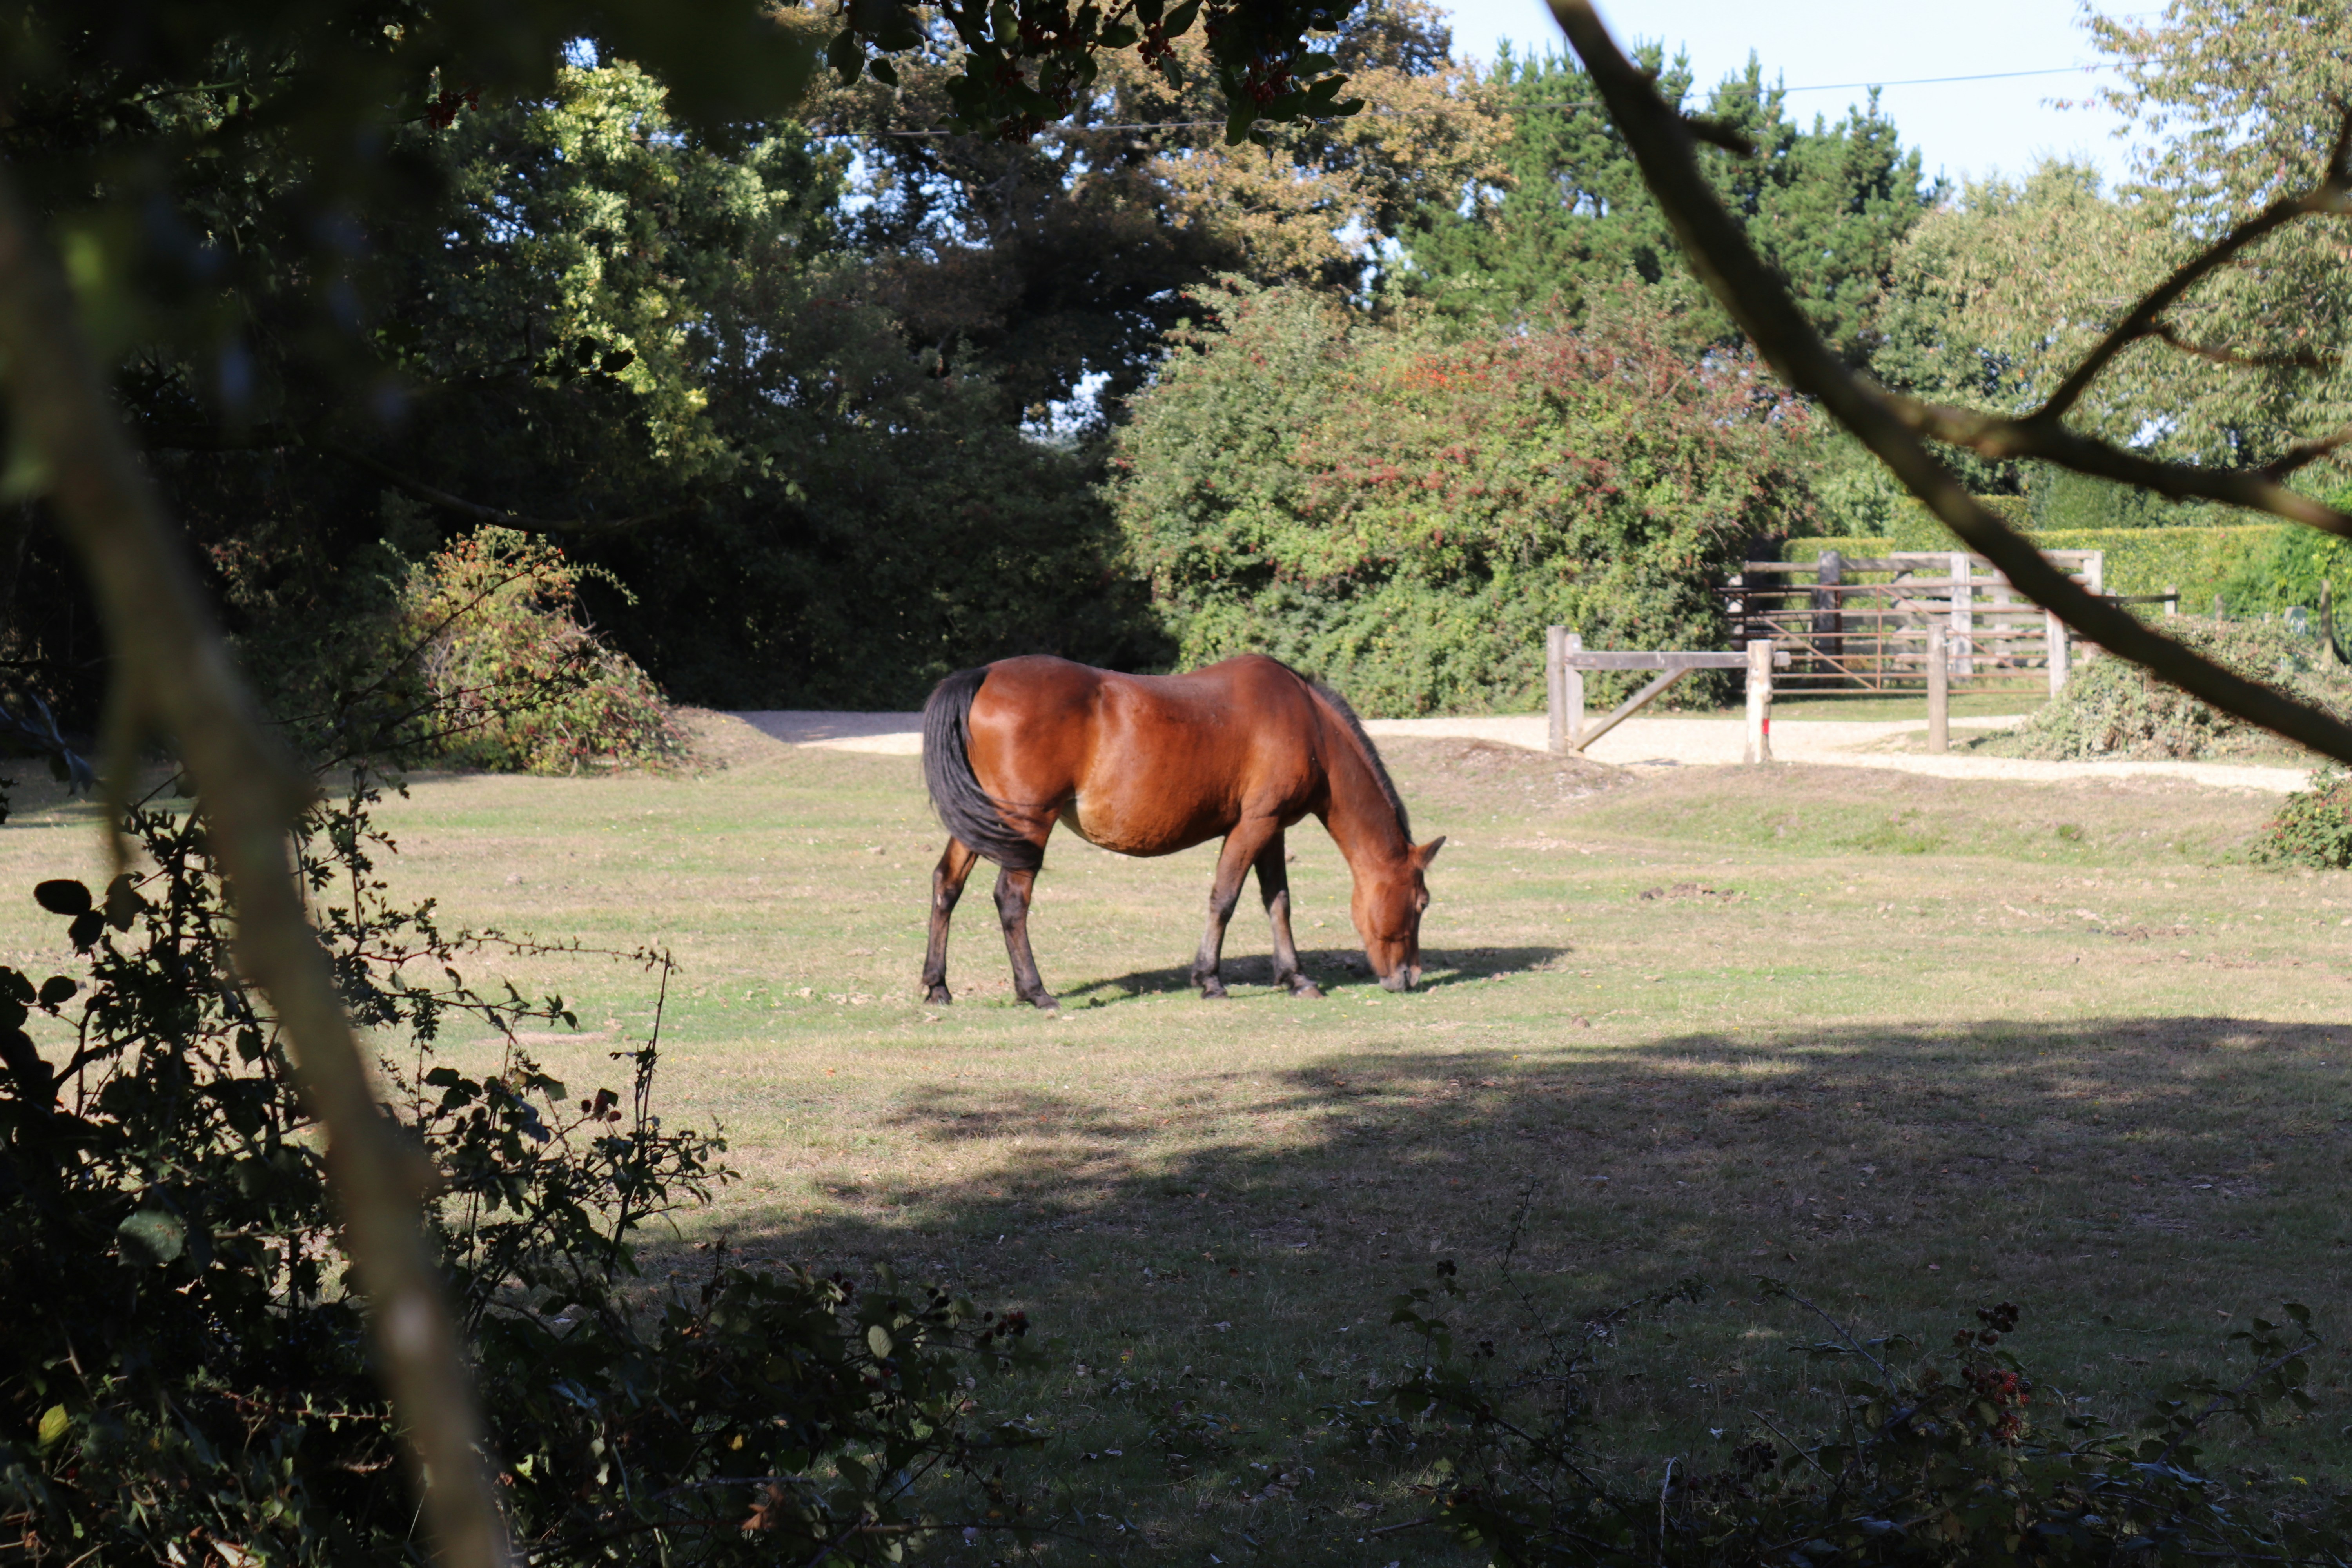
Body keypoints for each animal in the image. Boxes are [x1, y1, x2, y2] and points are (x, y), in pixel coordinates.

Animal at [918, 653, 1443, 1011]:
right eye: (1422, 903)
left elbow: (1278, 903)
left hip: (982, 820)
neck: (1310, 724)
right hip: (1026, 823)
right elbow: (1225, 899)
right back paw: (1036, 991)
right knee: (1011, 900)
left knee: (947, 885)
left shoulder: (1272, 831)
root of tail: (984, 675)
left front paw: (1296, 977)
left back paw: (937, 984)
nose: (1410, 977)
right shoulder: (1254, 825)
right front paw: (1209, 978)